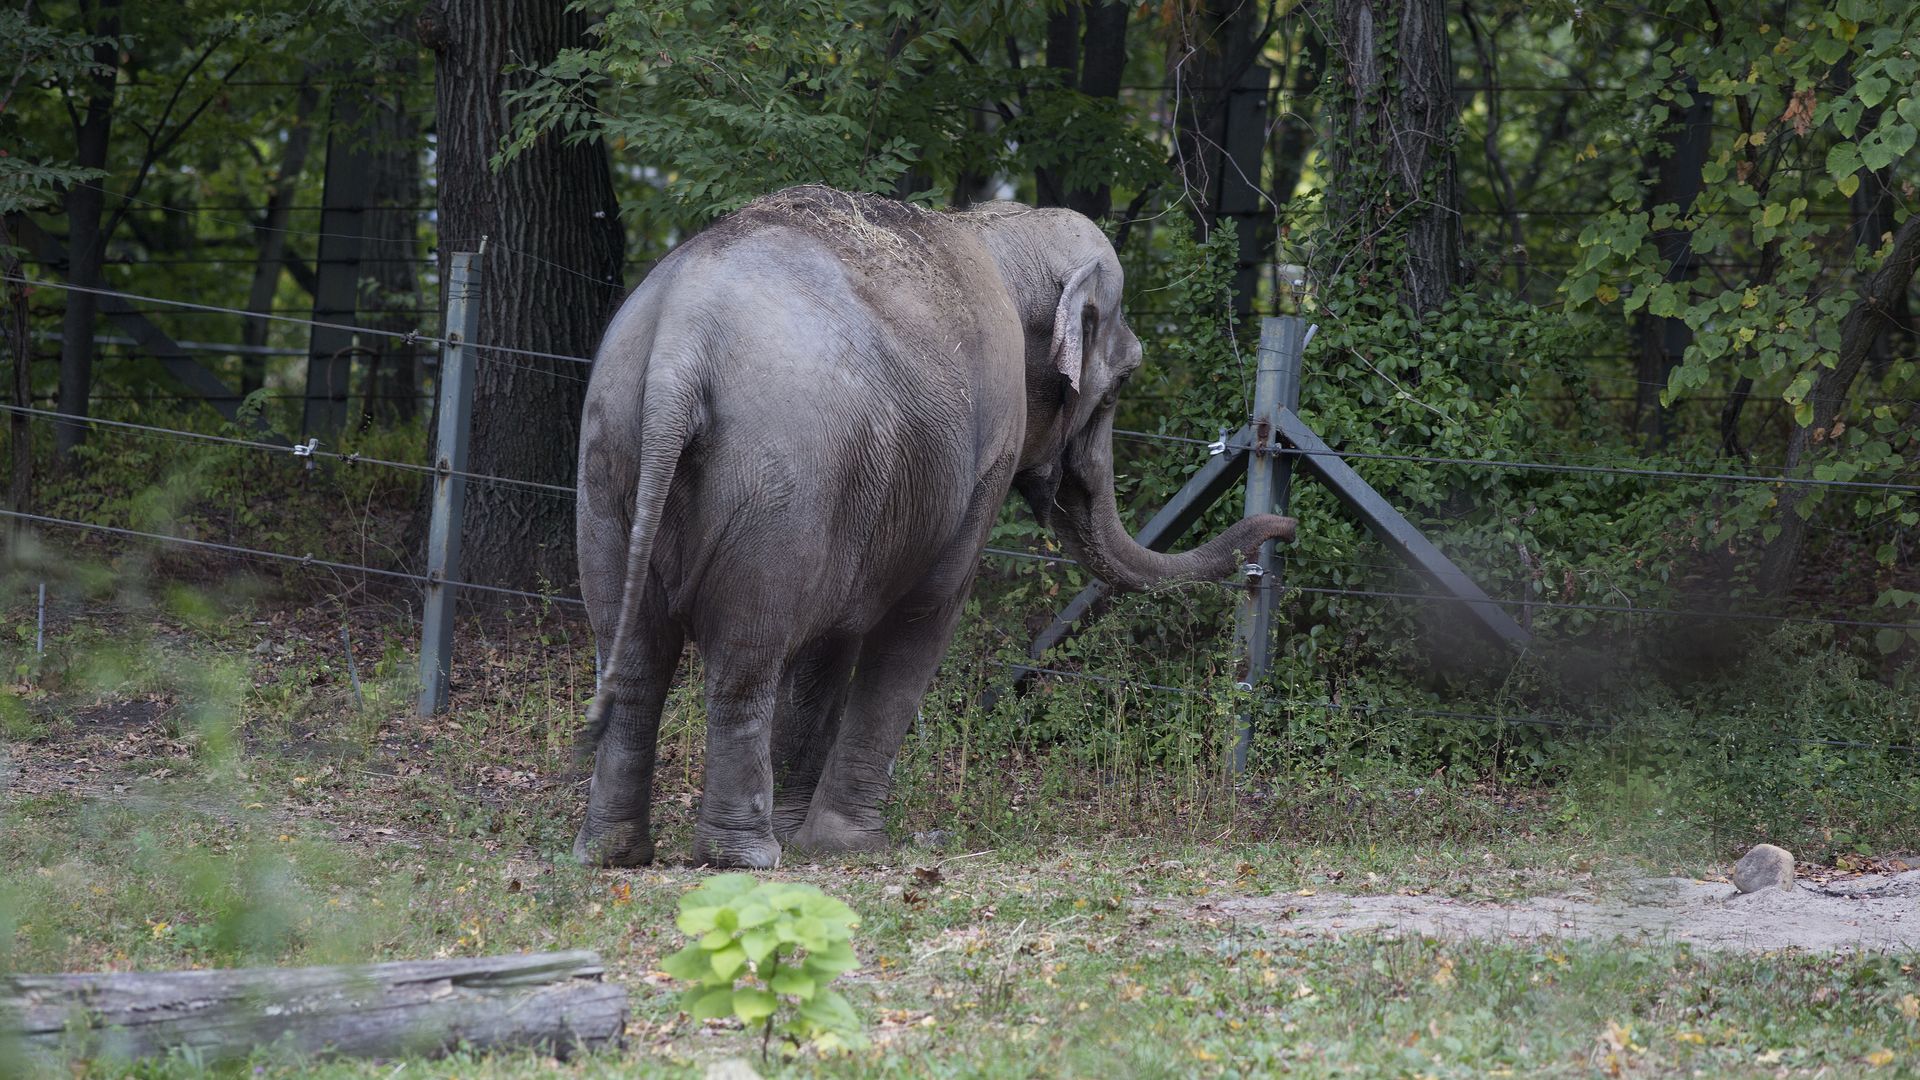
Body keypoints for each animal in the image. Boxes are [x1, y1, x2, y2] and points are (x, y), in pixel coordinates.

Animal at [573, 186, 1296, 868]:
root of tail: (681, 346)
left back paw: (614, 851)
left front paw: (805, 836)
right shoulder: (986, 448)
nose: (1280, 529)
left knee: (632, 656)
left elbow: (831, 641)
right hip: (775, 485)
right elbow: (925, 612)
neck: (999, 230)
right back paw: (741, 856)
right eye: (1120, 383)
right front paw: (851, 845)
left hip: (608, 461)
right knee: (744, 659)